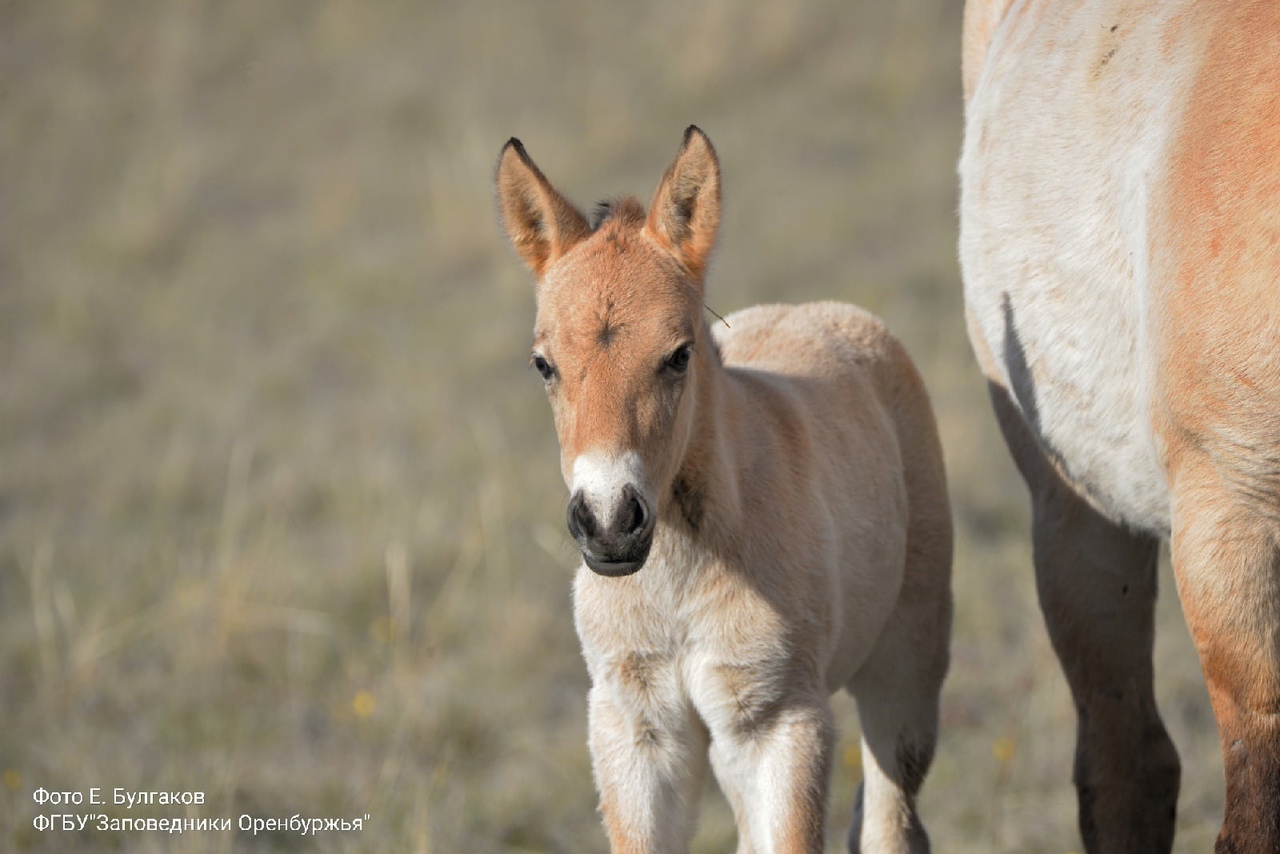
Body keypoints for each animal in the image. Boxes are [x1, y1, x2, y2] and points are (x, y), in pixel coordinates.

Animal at [496, 128, 952, 854]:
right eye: (544, 364)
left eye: (679, 355)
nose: (609, 522)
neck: (680, 583)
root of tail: (824, 312)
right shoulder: (637, 727)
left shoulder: (778, 724)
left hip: (906, 667)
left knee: (891, 820)